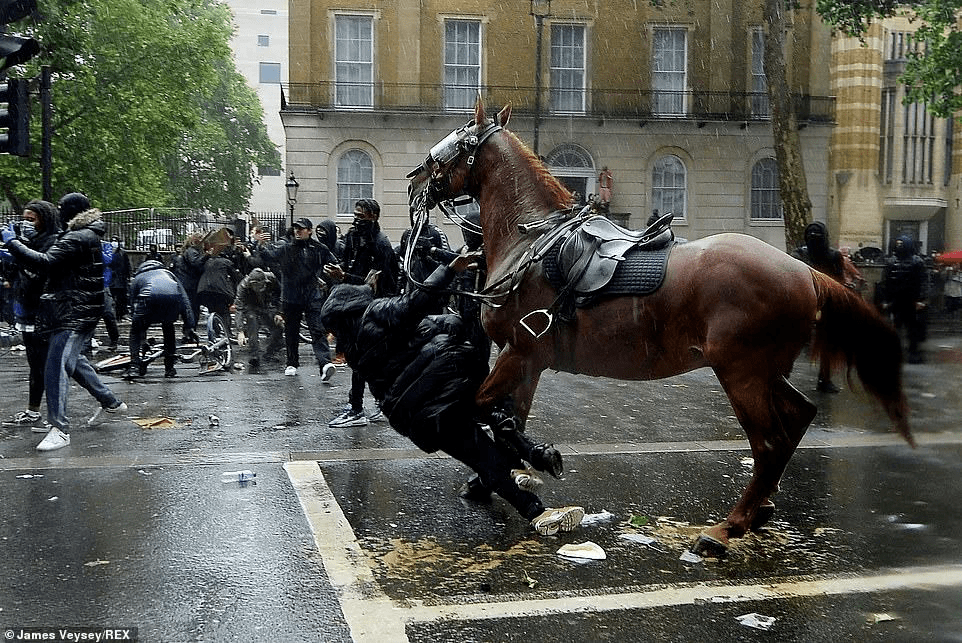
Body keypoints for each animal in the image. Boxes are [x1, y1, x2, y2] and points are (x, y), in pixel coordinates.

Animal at [406, 98, 916, 556]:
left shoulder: (517, 353)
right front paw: (499, 473)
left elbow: (481, 408)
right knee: (798, 418)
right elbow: (508, 417)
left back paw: (727, 528)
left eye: (448, 145)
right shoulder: (527, 361)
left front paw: (526, 462)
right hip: (767, 372)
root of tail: (804, 270)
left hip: (742, 373)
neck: (530, 241)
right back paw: (760, 509)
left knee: (770, 442)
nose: (414, 183)